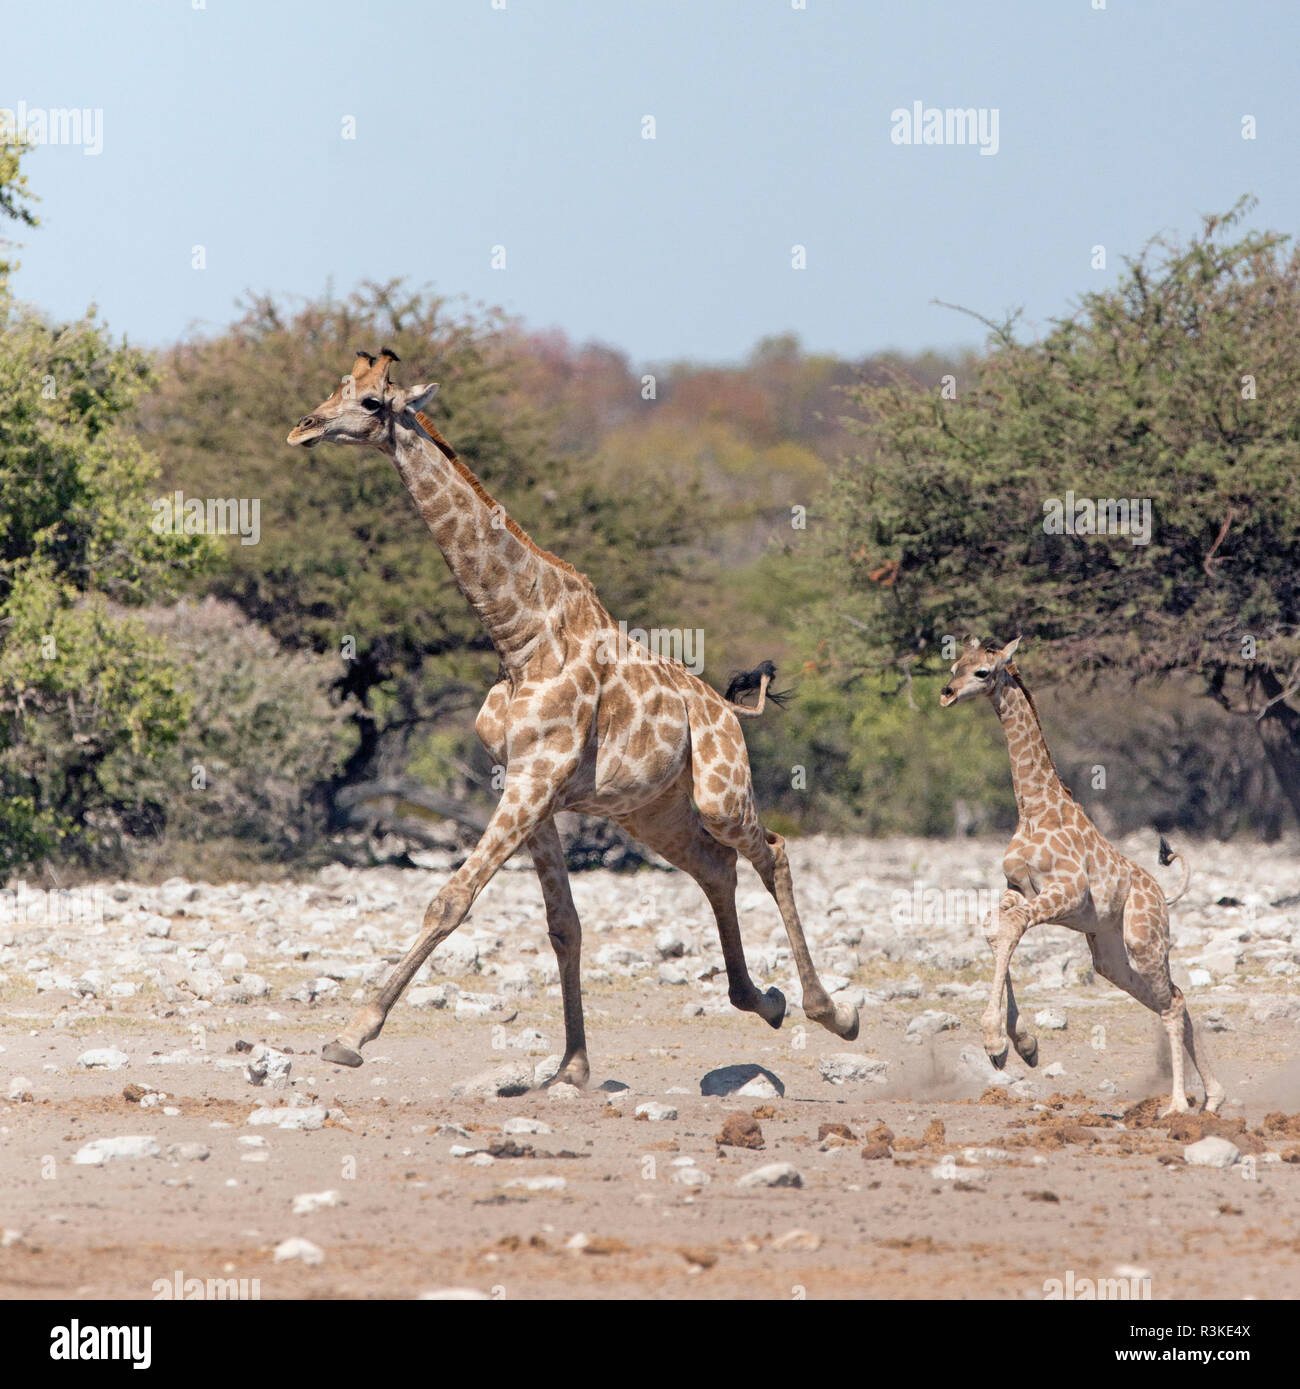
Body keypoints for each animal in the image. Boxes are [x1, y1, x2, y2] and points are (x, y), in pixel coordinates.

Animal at [286, 350, 855, 1083]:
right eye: (337, 386)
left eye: (374, 402)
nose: (304, 428)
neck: (520, 636)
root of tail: (727, 707)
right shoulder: (529, 786)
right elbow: (565, 924)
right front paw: (572, 1067)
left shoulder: (536, 781)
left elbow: (451, 899)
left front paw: (352, 1033)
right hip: (651, 812)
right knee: (715, 868)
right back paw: (765, 1000)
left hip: (720, 791)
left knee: (773, 853)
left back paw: (832, 1012)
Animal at [938, 638, 1222, 1116]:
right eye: (955, 663)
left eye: (982, 672)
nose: (946, 693)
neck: (1034, 809)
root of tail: (1162, 895)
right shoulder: (1016, 889)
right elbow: (998, 930)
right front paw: (1023, 1044)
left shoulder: (1069, 890)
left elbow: (1010, 928)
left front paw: (998, 1042)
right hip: (1110, 957)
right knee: (1175, 997)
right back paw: (1214, 1098)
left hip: (1142, 941)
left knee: (1171, 1004)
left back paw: (1178, 1106)